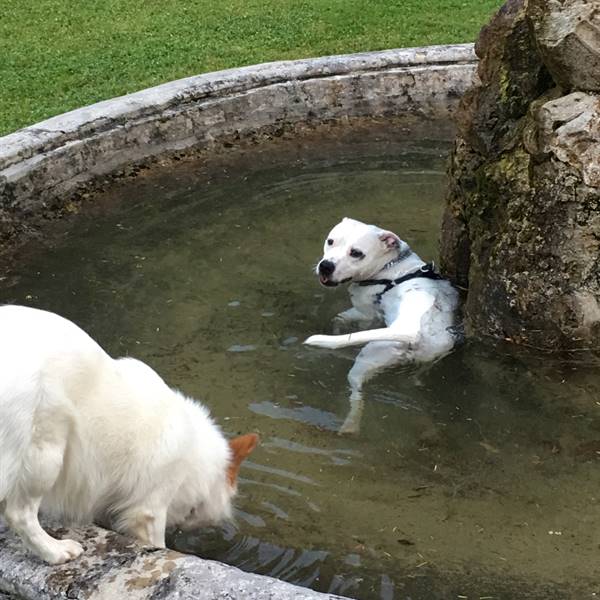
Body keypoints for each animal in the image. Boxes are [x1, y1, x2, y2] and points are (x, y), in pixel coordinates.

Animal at [0, 308, 255, 564]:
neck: (195, 447)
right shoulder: (150, 506)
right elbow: (156, 541)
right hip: (45, 454)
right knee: (19, 513)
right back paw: (55, 551)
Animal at [304, 218, 460, 434]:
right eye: (331, 241)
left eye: (356, 253)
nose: (326, 265)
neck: (389, 266)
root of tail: (411, 331)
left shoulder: (365, 313)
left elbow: (340, 318)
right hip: (434, 353)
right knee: (419, 373)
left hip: (369, 358)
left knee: (357, 393)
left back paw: (350, 424)